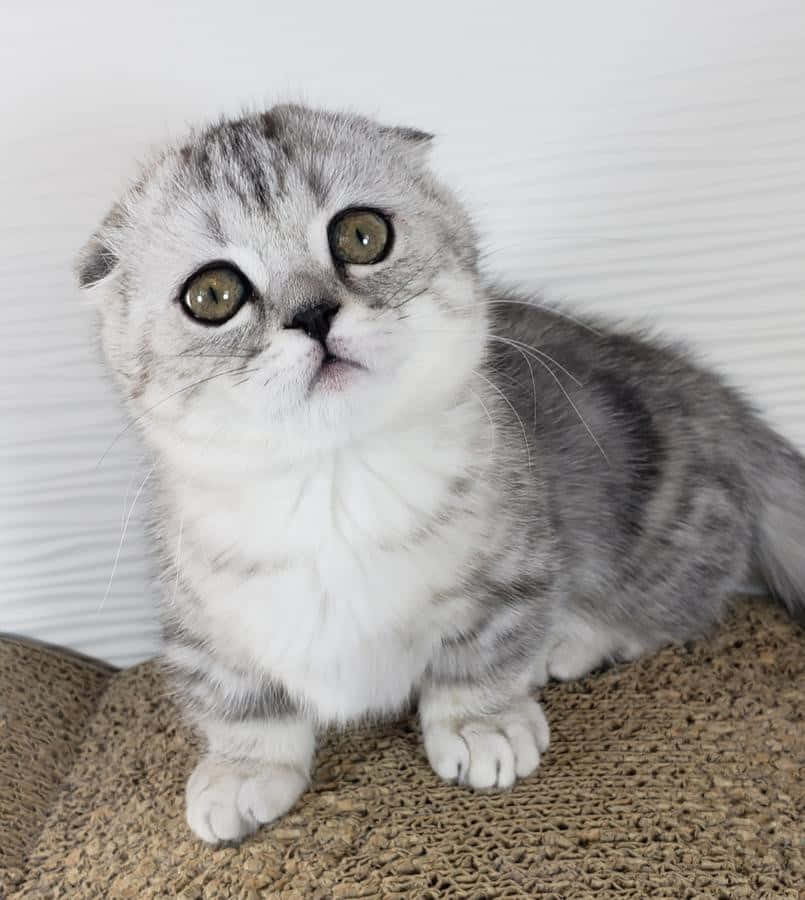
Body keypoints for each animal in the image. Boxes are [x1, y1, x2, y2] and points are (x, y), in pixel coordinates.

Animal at [77, 103, 804, 844]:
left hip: (654, 525)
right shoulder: (200, 617)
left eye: (362, 234)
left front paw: (483, 725)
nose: (313, 314)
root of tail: (708, 394)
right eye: (213, 293)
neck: (335, 484)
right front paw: (243, 768)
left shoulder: (515, 565)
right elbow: (237, 695)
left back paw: (572, 640)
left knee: (677, 608)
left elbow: (484, 652)